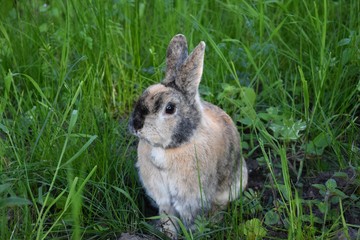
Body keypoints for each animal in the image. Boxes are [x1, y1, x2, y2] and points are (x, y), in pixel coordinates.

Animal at [129, 33, 248, 236]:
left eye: (169, 108)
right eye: (144, 94)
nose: (136, 125)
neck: (171, 148)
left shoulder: (192, 198)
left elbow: (191, 219)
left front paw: (192, 233)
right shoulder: (163, 197)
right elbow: (167, 215)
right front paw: (167, 233)